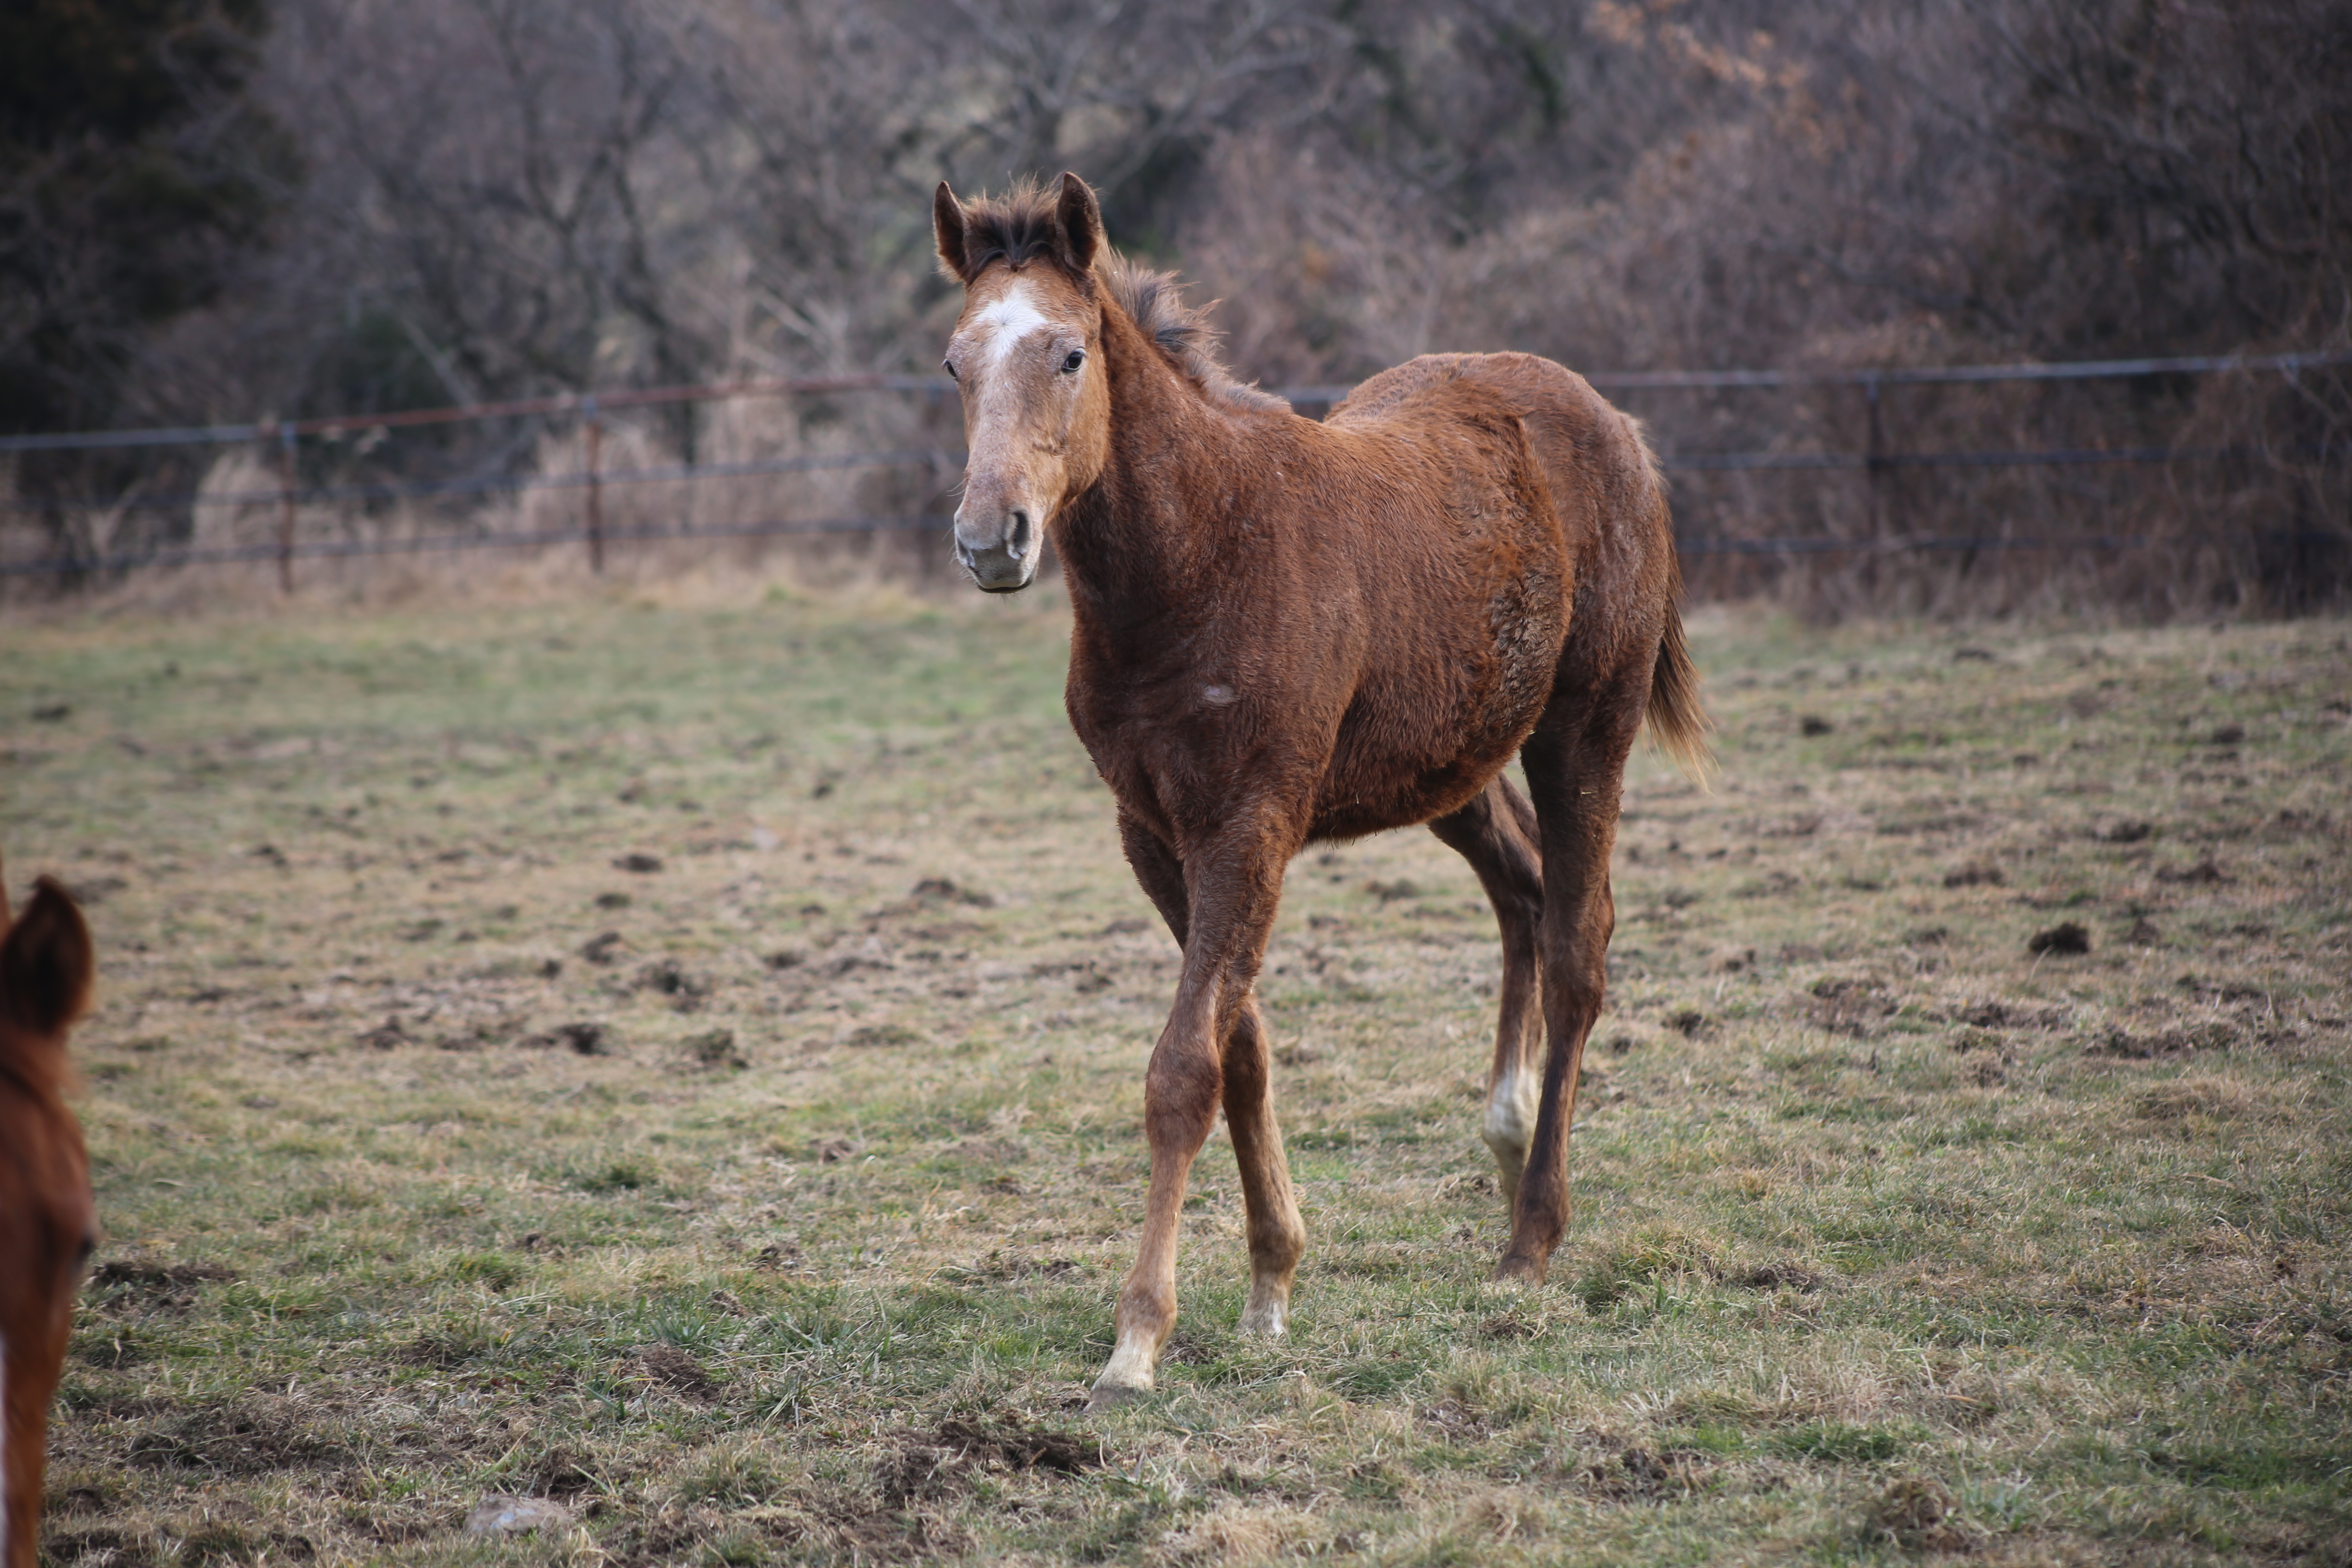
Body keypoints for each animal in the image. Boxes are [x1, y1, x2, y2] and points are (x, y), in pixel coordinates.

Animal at [931, 175, 1712, 1410]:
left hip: (1586, 726)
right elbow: (1241, 1047)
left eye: (1068, 353)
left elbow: (1183, 1067)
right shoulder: (1154, 832)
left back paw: (1530, 1238)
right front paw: (1270, 1284)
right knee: (1522, 890)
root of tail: (1615, 424)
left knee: (1578, 943)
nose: (990, 539)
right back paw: (1504, 1135)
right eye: (955, 365)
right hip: (1451, 761)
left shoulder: (1248, 823)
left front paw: (1137, 1341)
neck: (1196, 557)